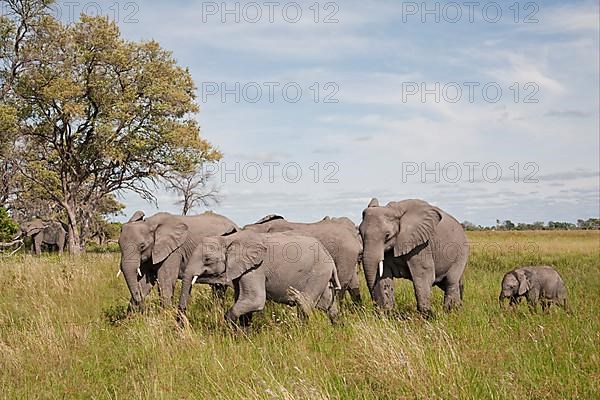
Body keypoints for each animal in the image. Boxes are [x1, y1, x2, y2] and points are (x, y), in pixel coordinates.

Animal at [176, 230, 340, 326]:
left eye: (208, 259)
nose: (180, 323)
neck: (229, 240)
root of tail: (330, 259)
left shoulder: (255, 268)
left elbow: (254, 300)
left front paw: (233, 332)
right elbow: (243, 300)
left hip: (318, 272)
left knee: (304, 303)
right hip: (322, 275)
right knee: (328, 304)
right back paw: (336, 326)